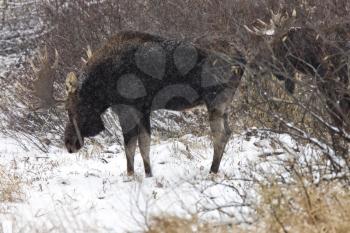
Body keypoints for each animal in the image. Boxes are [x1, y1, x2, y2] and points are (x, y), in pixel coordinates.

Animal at [60, 31, 245, 177]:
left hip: (215, 100)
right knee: (228, 132)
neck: (103, 88)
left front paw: (131, 176)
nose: (69, 142)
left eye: (69, 109)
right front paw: (149, 174)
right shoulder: (143, 110)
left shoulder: (127, 109)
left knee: (220, 136)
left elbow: (129, 147)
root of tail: (242, 59)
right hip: (224, 104)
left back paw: (212, 171)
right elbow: (144, 145)